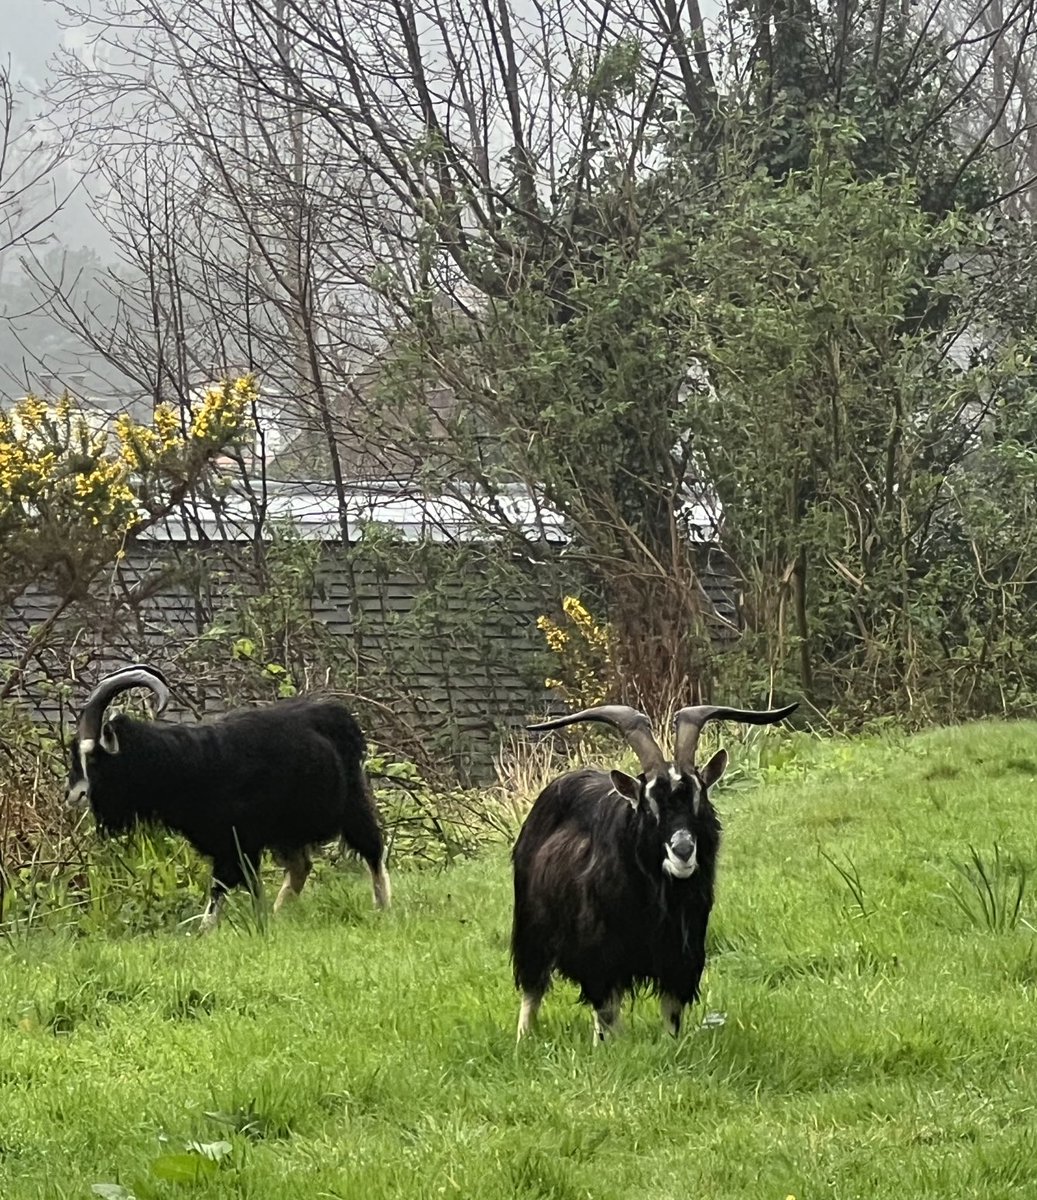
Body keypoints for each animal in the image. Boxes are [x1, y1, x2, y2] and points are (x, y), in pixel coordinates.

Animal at [65, 667, 388, 926]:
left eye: (91, 757)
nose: (73, 794)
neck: (186, 764)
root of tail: (337, 716)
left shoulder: (239, 843)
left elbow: (226, 889)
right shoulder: (230, 845)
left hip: (351, 804)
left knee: (372, 848)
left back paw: (383, 909)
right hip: (288, 831)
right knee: (300, 868)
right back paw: (280, 913)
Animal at [513, 700, 796, 1041]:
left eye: (700, 795)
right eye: (649, 804)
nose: (683, 851)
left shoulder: (680, 958)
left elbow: (670, 1015)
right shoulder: (600, 958)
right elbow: (606, 1013)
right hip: (531, 929)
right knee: (533, 988)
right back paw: (524, 1039)